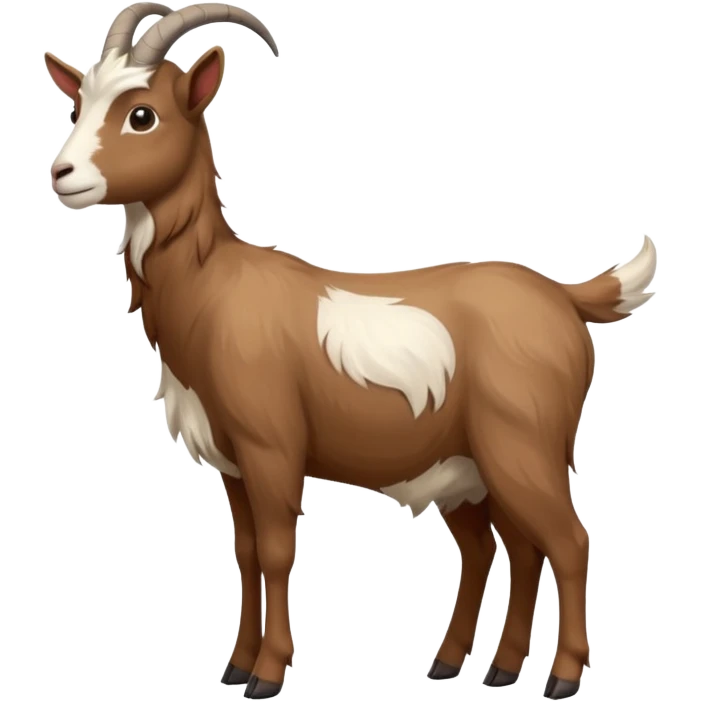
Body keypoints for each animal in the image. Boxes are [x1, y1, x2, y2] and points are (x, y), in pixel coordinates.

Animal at [43, 3, 659, 699]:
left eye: (142, 113)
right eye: (79, 103)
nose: (62, 175)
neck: (216, 286)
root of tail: (565, 296)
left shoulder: (272, 447)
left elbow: (277, 550)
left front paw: (267, 674)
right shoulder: (232, 462)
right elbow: (246, 553)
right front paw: (236, 665)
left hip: (524, 445)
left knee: (568, 541)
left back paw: (560, 676)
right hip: (473, 466)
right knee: (506, 549)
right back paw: (481, 667)